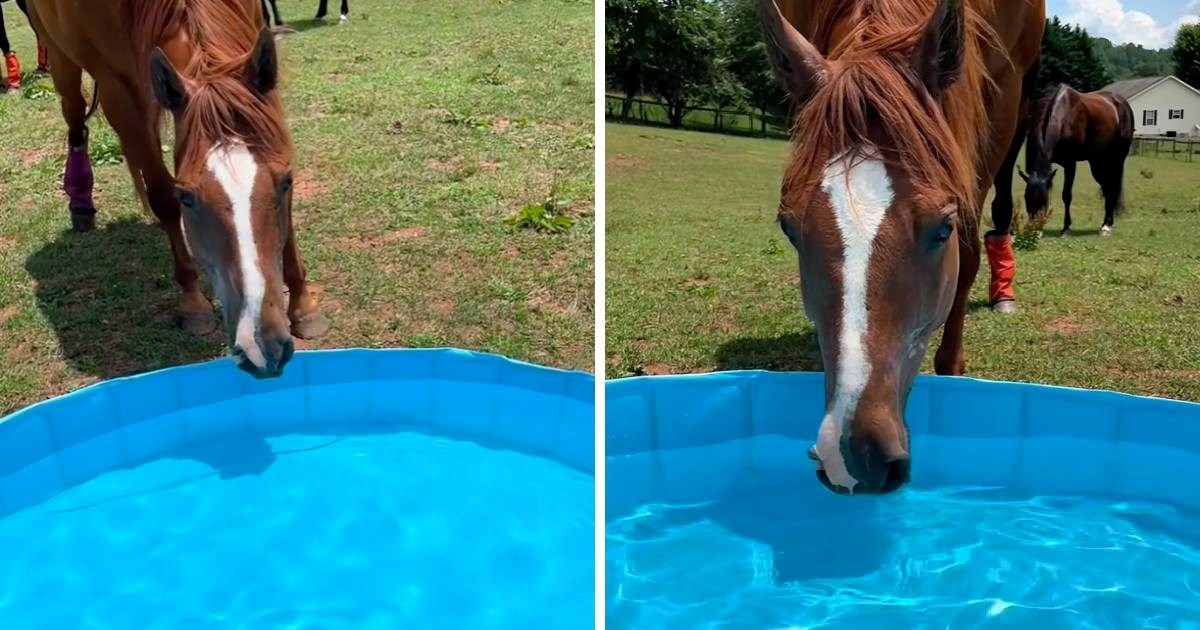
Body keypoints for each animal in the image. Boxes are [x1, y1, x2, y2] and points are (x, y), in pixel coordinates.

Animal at [25, 0, 331, 376]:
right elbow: (160, 194)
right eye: (186, 197)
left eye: (286, 182)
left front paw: (303, 305)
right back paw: (80, 203)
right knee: (75, 115)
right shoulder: (118, 88)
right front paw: (192, 302)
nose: (263, 343)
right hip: (59, 56)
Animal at [1017, 84, 1128, 237]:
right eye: (1026, 199)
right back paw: (1106, 223)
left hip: (1117, 159)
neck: (1062, 116)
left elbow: (1066, 195)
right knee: (1107, 187)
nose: (1034, 231)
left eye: (1044, 201)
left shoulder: (1070, 164)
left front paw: (1066, 228)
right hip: (1097, 162)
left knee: (1112, 187)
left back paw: (1107, 226)